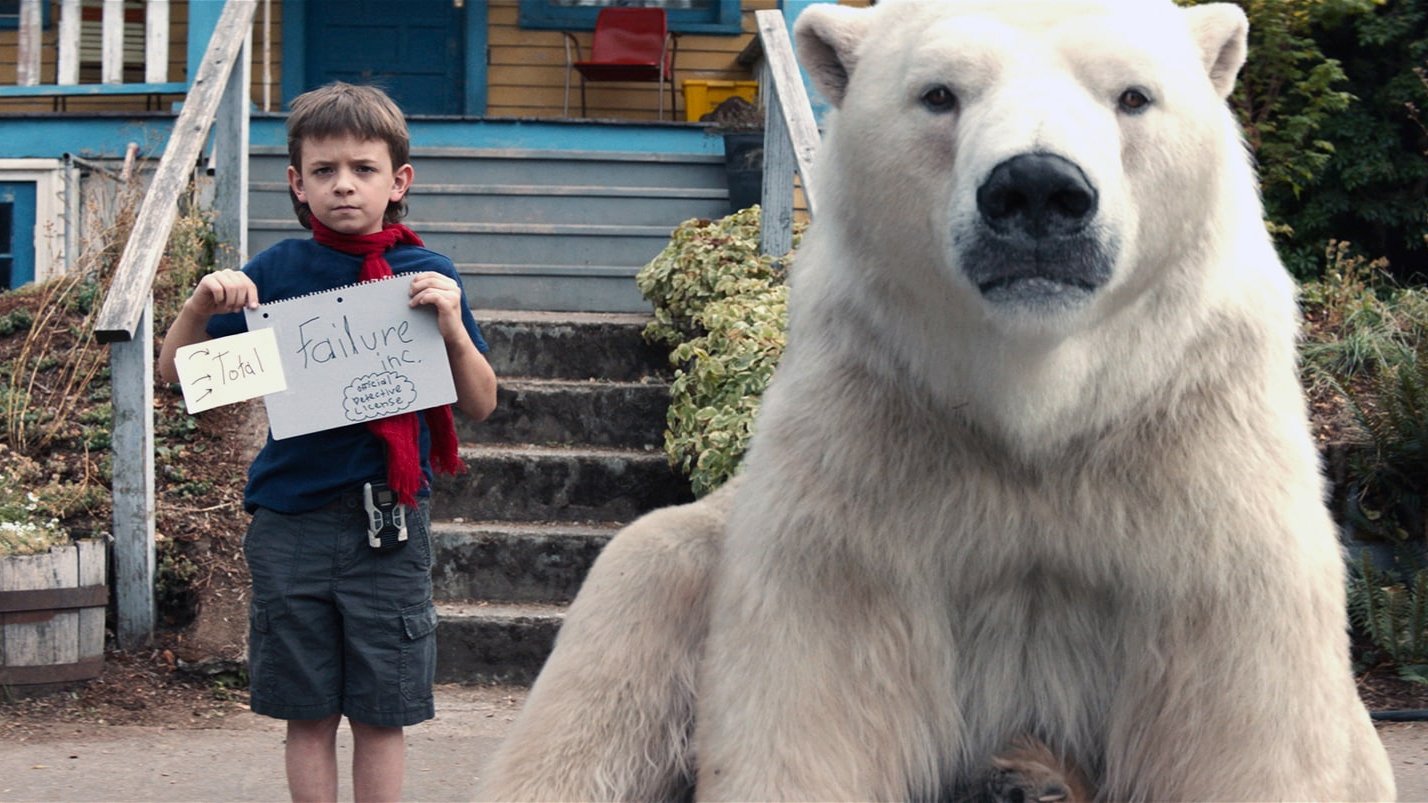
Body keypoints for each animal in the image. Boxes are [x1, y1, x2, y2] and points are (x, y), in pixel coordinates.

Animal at [476, 0, 1393, 794]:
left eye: (1133, 95)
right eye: (940, 93)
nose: (1037, 190)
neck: (1036, 399)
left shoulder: (1191, 439)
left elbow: (1239, 711)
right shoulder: (872, 436)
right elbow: (817, 693)